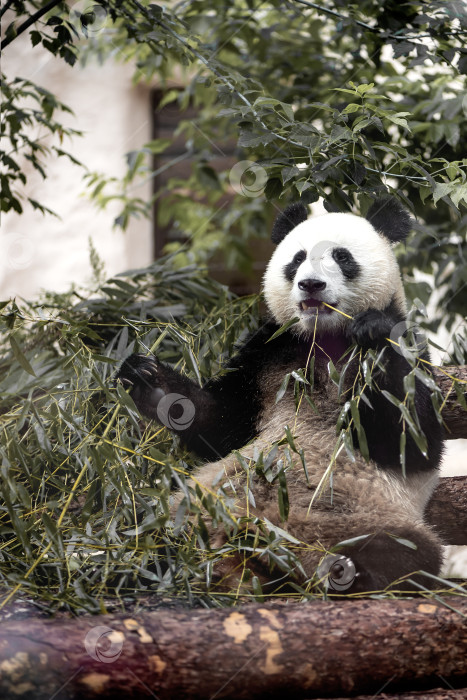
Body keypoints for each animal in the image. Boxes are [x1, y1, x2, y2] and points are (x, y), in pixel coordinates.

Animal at [118, 197, 446, 596]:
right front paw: (148, 381)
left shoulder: (411, 346)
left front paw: (374, 333)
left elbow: (413, 440)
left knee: (401, 553)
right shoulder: (270, 350)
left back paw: (341, 570)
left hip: (364, 516)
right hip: (189, 503)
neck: (325, 335)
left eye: (342, 256)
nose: (311, 284)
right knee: (142, 528)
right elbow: (222, 424)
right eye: (298, 258)